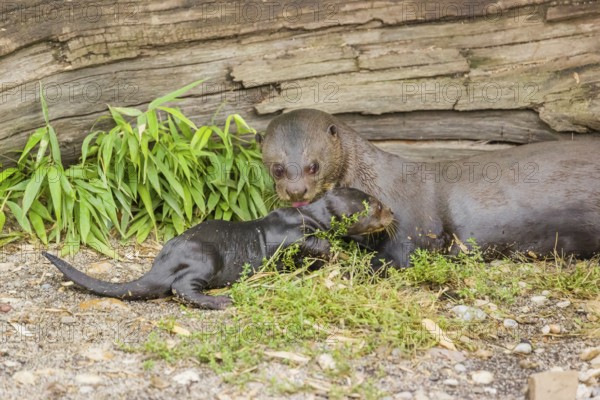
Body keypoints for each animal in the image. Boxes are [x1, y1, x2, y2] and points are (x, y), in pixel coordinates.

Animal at [44, 188, 396, 310]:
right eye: (377, 206)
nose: (393, 212)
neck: (308, 215)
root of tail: (160, 264)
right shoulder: (287, 235)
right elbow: (306, 243)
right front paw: (332, 250)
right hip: (206, 258)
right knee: (180, 288)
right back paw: (221, 301)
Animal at [262, 108, 600, 268]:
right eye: (277, 168)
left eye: (313, 166)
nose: (296, 192)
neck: (373, 180)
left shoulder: (412, 227)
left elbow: (400, 255)